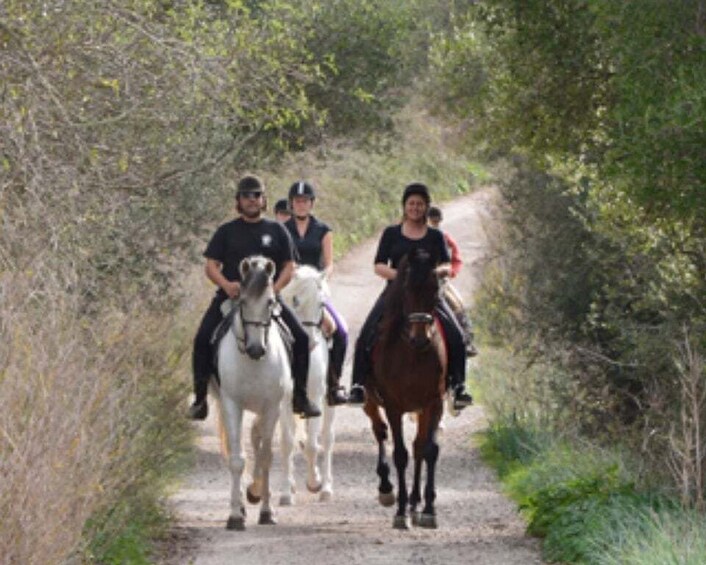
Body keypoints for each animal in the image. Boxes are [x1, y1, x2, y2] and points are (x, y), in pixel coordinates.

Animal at [209, 256, 292, 528]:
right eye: (243, 301)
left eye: (270, 302)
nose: (256, 349)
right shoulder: (232, 404)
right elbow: (237, 459)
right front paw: (235, 515)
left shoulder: (272, 406)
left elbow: (265, 457)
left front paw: (266, 510)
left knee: (257, 439)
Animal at [364, 248, 446, 528]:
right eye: (407, 289)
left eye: (435, 288)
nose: (421, 339)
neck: (413, 354)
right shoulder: (393, 405)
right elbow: (399, 454)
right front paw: (400, 512)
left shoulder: (434, 402)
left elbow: (429, 450)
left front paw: (429, 509)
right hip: (370, 400)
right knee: (379, 431)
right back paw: (387, 490)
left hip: (422, 409)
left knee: (418, 446)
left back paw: (415, 502)